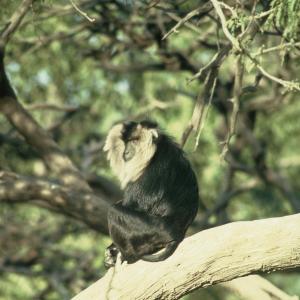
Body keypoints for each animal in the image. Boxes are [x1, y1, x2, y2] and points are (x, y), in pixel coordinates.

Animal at [103, 120, 199, 268]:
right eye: (126, 142)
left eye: (134, 141)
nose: (126, 151)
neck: (156, 150)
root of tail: (178, 234)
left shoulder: (151, 171)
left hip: (155, 232)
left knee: (113, 211)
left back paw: (129, 256)